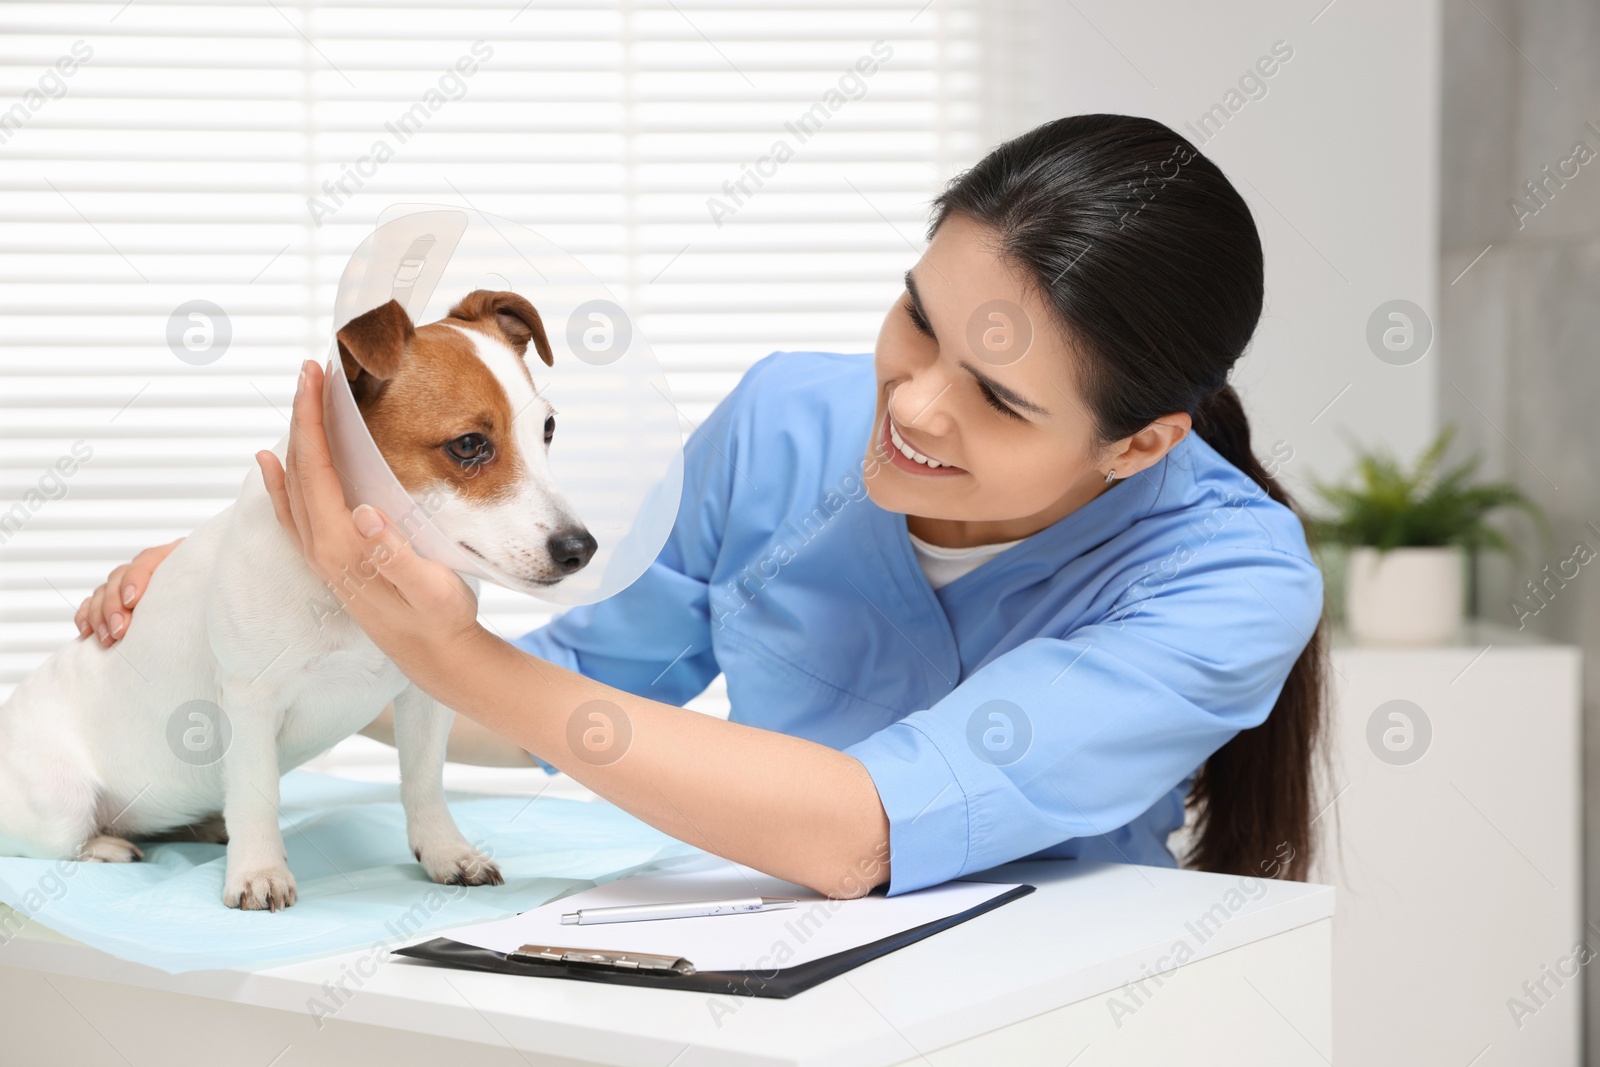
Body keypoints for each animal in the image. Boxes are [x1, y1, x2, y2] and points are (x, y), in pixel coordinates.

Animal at [0, 289, 595, 908]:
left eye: (549, 429)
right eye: (470, 445)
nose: (581, 548)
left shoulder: (428, 696)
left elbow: (424, 781)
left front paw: (446, 851)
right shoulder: (250, 702)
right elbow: (256, 792)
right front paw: (259, 871)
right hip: (60, 803)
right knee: (61, 840)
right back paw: (107, 846)